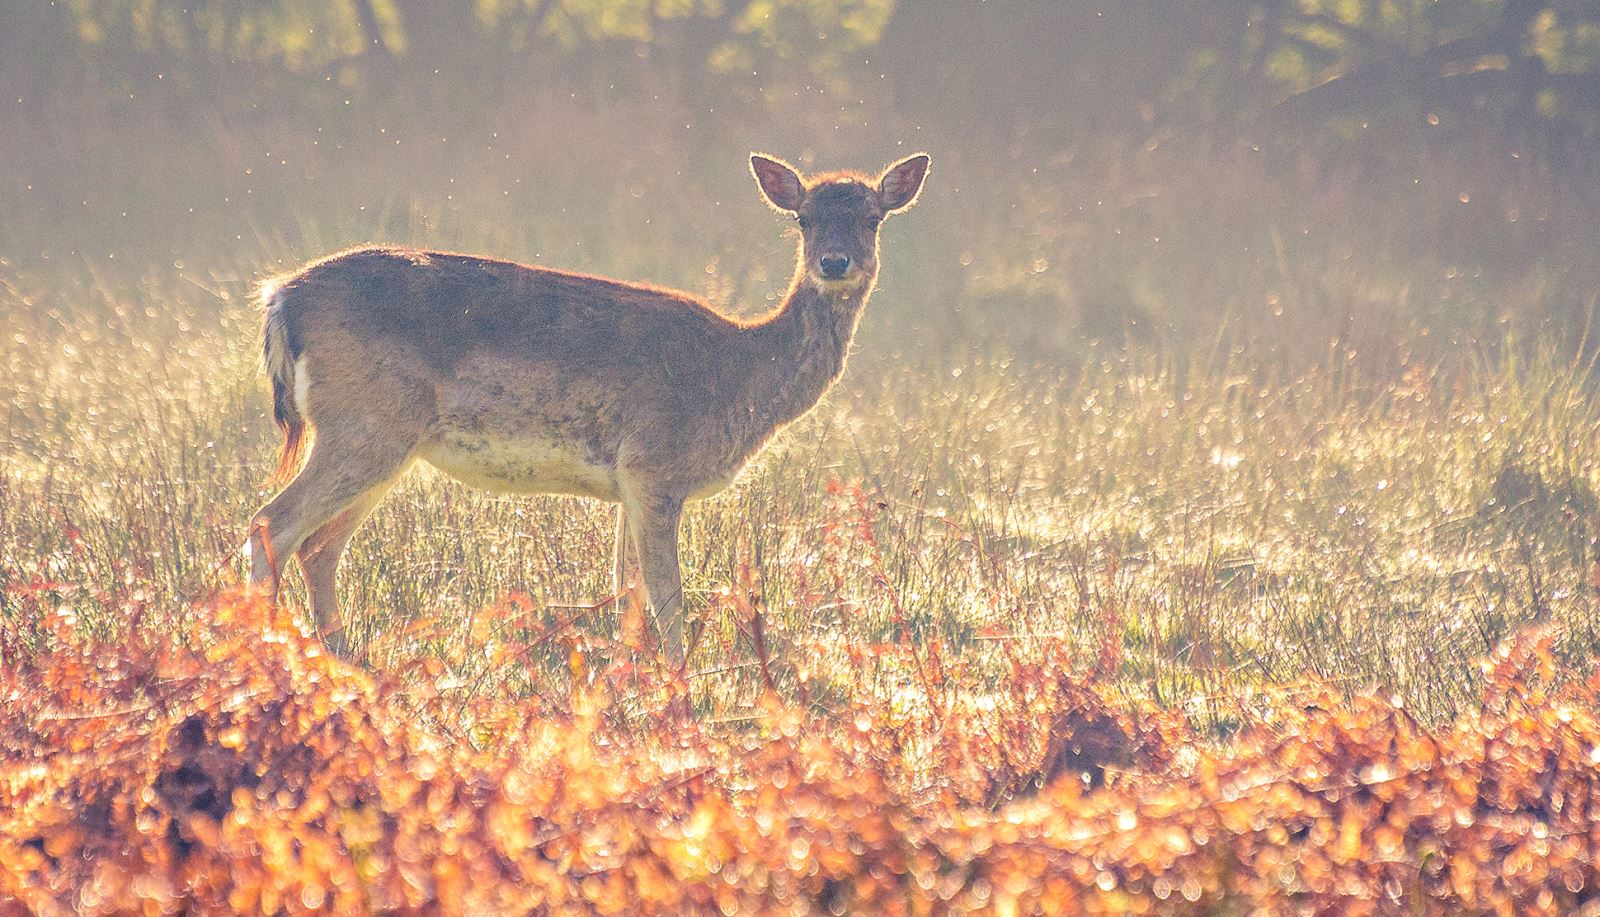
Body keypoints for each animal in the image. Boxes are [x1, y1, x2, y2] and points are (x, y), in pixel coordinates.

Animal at [243, 153, 934, 662]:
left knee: (318, 547)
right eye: (803, 218)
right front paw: (681, 685)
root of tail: (281, 297)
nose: (835, 262)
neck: (737, 376)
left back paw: (343, 659)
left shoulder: (629, 482)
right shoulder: (656, 465)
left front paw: (628, 681)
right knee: (272, 525)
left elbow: (626, 590)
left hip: (381, 442)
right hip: (363, 426)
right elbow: (667, 597)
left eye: (873, 217)